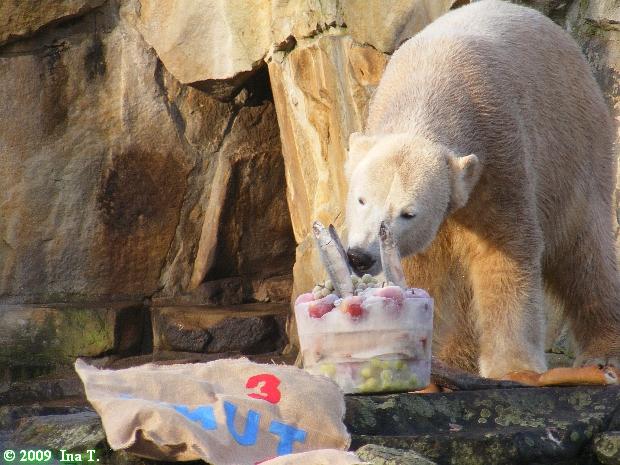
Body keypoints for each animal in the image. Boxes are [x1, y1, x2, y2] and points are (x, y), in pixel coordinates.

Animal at [343, 0, 620, 379]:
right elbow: (418, 267)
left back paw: (604, 353)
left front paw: (514, 367)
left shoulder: (497, 151)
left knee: (584, 250)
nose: (361, 256)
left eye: (408, 213)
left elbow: (505, 250)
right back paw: (455, 357)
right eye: (361, 199)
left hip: (575, 147)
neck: (430, 86)